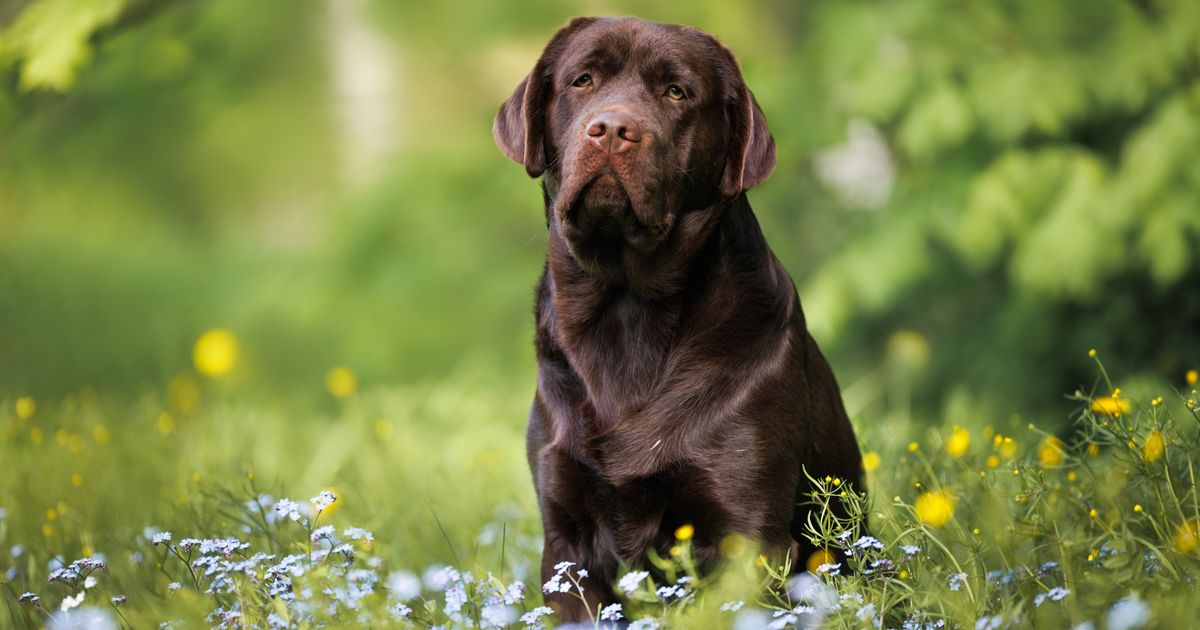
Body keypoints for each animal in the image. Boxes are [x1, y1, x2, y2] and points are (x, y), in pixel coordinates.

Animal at [492, 15, 868, 619]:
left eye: (676, 92)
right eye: (582, 80)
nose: (612, 129)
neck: (627, 312)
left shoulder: (746, 533)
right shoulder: (566, 544)